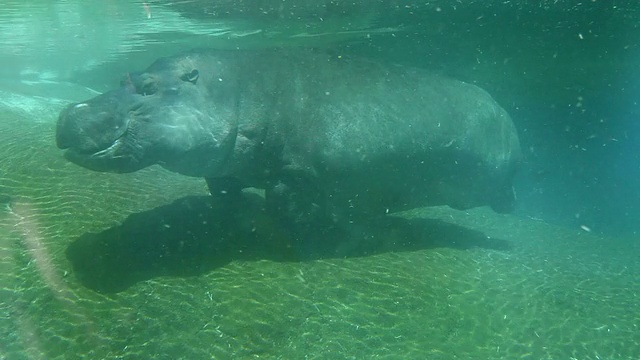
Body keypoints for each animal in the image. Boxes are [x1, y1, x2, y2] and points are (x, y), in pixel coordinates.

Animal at [56, 47, 520, 233]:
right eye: (125, 77)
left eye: (148, 86)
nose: (70, 111)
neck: (235, 93)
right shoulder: (224, 160)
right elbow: (222, 188)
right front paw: (236, 205)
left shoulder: (304, 170)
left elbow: (283, 198)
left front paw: (304, 223)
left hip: (504, 177)